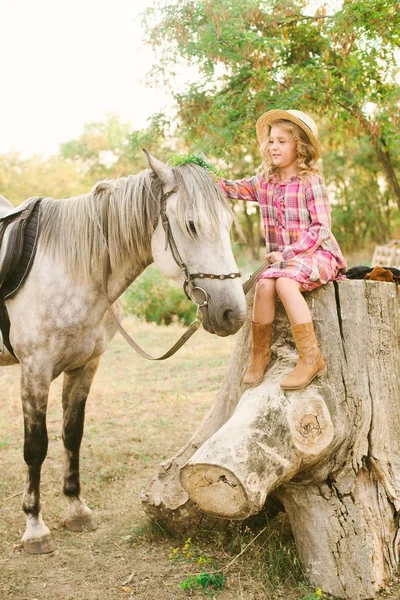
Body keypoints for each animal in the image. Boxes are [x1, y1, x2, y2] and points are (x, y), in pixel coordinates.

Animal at [0, 152, 247, 556]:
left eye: (229, 224)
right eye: (191, 225)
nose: (233, 313)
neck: (71, 268)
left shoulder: (85, 366)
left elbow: (72, 435)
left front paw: (76, 510)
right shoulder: (35, 370)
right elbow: (35, 447)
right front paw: (35, 528)